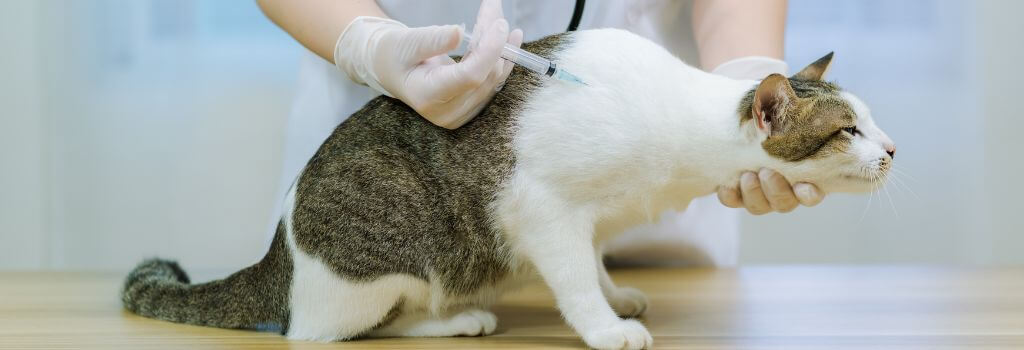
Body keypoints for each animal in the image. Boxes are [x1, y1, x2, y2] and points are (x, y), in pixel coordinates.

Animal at [123, 28, 897, 350]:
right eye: (848, 130)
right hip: (386, 257)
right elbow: (575, 280)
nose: (892, 148)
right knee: (325, 331)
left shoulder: (595, 220)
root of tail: (278, 251)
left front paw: (617, 294)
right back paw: (456, 320)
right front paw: (607, 328)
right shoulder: (545, 211)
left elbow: (596, 263)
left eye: (873, 121)